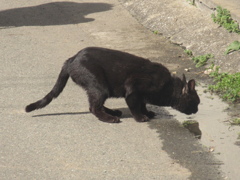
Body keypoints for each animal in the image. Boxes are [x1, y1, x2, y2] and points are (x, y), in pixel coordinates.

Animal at [25, 46, 200, 123]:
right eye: (196, 102)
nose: (197, 110)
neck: (168, 87)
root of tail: (71, 58)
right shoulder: (132, 88)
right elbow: (135, 106)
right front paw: (140, 117)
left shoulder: (141, 96)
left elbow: (143, 104)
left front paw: (147, 113)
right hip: (99, 86)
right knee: (93, 107)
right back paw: (110, 118)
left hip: (101, 89)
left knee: (95, 104)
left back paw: (114, 112)